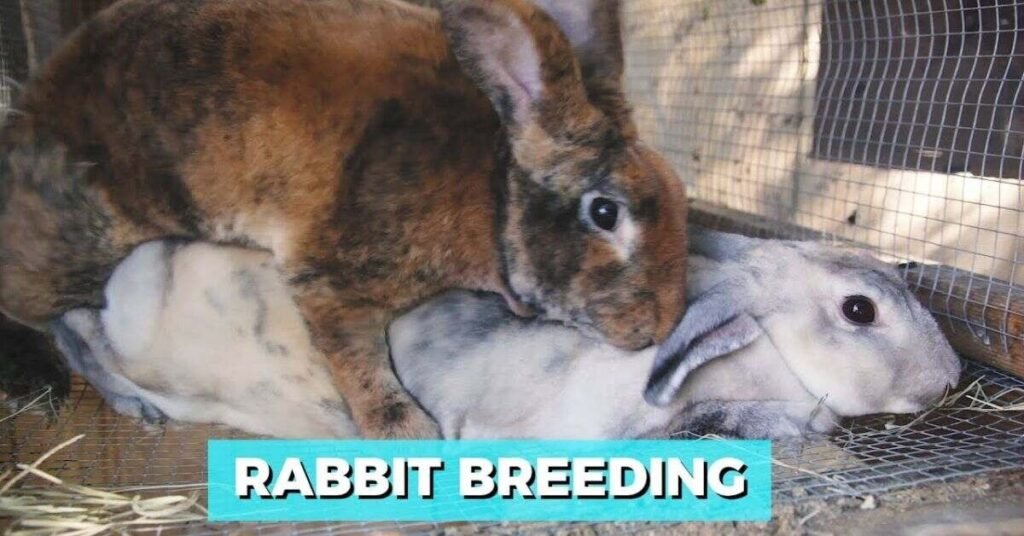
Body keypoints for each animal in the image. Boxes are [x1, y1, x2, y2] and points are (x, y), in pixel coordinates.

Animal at [0, 0, 689, 438]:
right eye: (606, 212)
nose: (657, 327)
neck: (493, 192)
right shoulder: (334, 284)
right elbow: (362, 369)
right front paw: (407, 435)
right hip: (89, 242)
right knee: (54, 321)